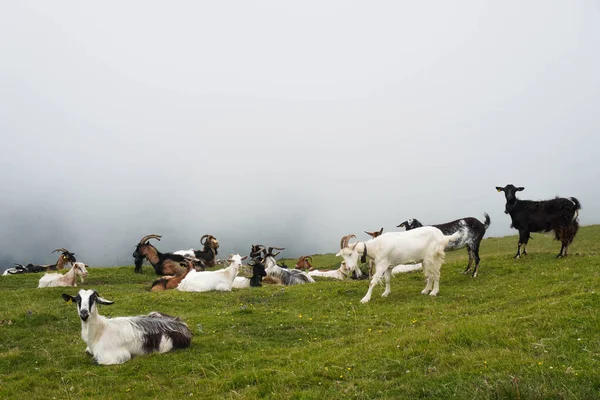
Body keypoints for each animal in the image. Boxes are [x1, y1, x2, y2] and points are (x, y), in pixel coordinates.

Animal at [61, 288, 191, 366]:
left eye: (93, 298)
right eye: (77, 299)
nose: (84, 313)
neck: (100, 332)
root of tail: (184, 326)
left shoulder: (117, 355)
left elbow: (95, 360)